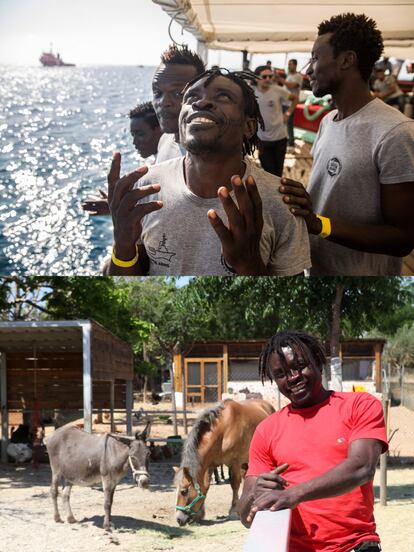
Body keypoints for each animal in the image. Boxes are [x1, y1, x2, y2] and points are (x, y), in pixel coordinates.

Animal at [173, 396, 274, 528]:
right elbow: (205, 485)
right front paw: (200, 514)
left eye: (184, 491)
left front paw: (233, 511)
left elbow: (234, 484)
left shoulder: (235, 462)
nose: (179, 519)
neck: (223, 430)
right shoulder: (211, 464)